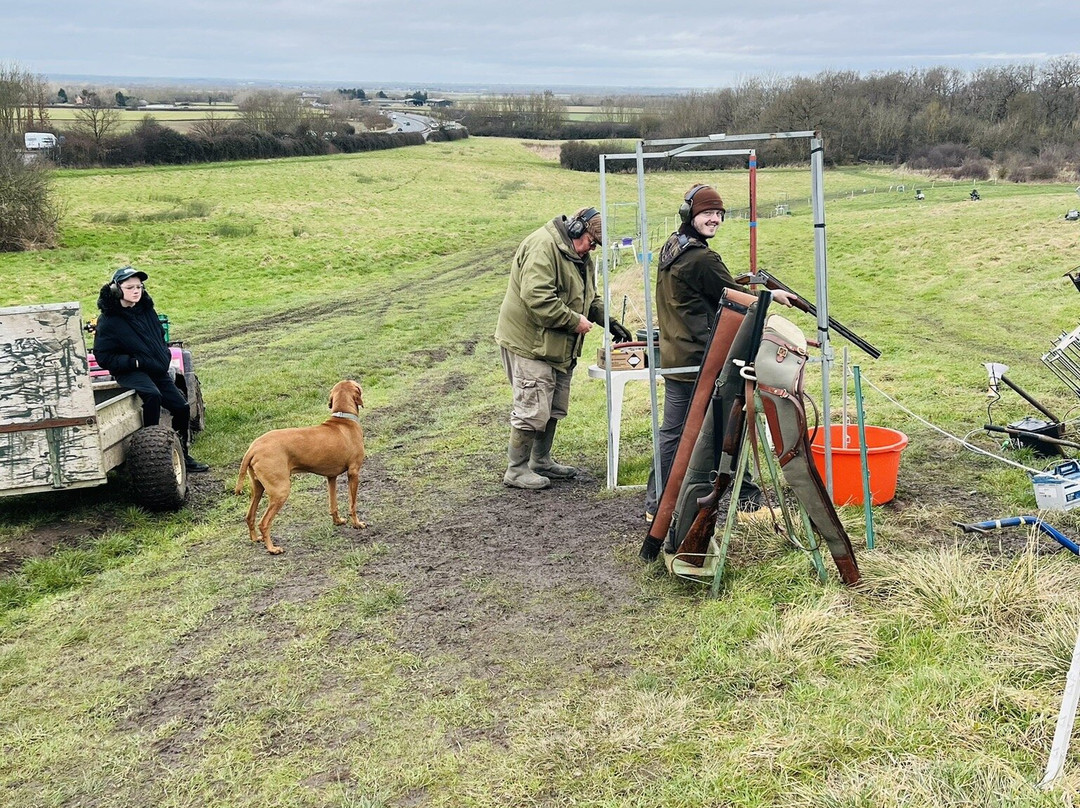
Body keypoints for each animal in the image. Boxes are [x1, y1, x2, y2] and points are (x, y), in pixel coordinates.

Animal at [233, 378, 365, 557]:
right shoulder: (354, 473)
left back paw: (255, 539)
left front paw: (337, 521)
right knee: (264, 522)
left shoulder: (331, 477)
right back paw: (272, 549)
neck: (343, 418)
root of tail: (253, 448)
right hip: (280, 491)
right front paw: (357, 524)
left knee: (249, 516)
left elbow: (333, 504)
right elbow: (353, 505)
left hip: (258, 488)